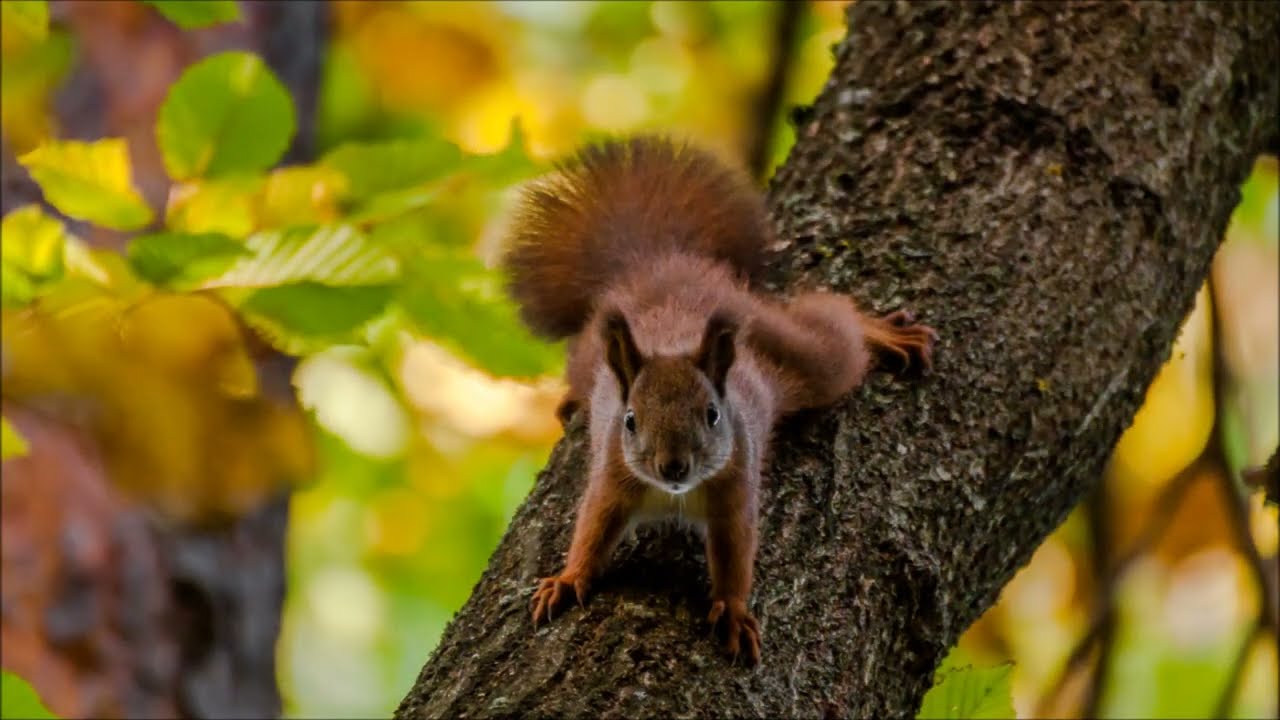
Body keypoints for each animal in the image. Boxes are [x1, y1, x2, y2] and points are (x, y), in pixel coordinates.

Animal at [502, 136, 936, 666]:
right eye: (630, 420)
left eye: (712, 415)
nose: (673, 466)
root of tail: (663, 265)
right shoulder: (611, 478)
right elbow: (592, 529)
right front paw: (568, 579)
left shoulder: (735, 484)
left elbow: (735, 550)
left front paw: (731, 609)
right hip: (590, 352)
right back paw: (569, 402)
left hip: (797, 350)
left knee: (834, 331)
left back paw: (879, 332)